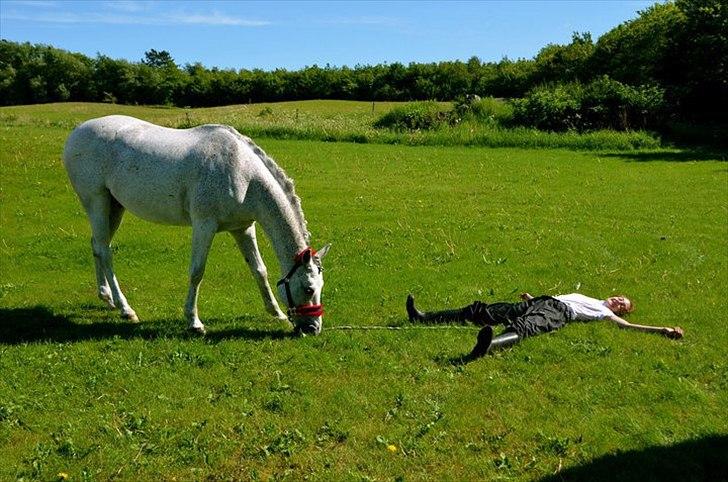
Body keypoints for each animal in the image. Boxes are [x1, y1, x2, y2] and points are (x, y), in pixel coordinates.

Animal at [62, 116, 330, 336]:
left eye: (320, 286)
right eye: (308, 289)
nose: (313, 329)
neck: (243, 173)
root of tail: (77, 131)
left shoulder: (243, 228)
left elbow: (259, 269)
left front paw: (276, 312)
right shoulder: (204, 225)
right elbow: (197, 272)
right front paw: (194, 322)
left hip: (114, 206)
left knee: (98, 245)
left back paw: (106, 297)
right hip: (96, 201)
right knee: (105, 251)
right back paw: (125, 308)